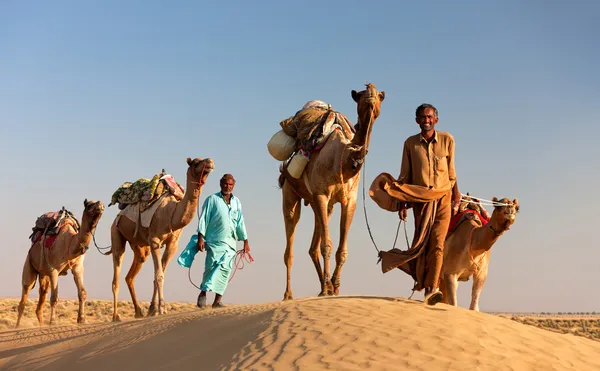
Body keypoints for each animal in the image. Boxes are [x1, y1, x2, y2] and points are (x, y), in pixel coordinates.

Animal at [109, 155, 214, 322]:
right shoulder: (154, 241)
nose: (209, 162)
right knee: (116, 276)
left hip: (139, 246)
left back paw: (138, 312)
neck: (172, 213)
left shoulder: (173, 244)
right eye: (196, 162)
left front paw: (152, 309)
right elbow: (159, 275)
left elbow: (159, 274)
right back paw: (116, 316)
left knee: (130, 275)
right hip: (116, 233)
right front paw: (162, 309)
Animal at [280, 83, 386, 300]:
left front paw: (335, 287)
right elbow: (326, 246)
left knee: (312, 247)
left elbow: (341, 249)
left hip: (318, 204)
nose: (370, 91)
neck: (344, 160)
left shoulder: (349, 200)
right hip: (290, 193)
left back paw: (325, 285)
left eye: (379, 96)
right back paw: (289, 294)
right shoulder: (321, 194)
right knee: (290, 246)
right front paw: (329, 287)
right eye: (361, 96)